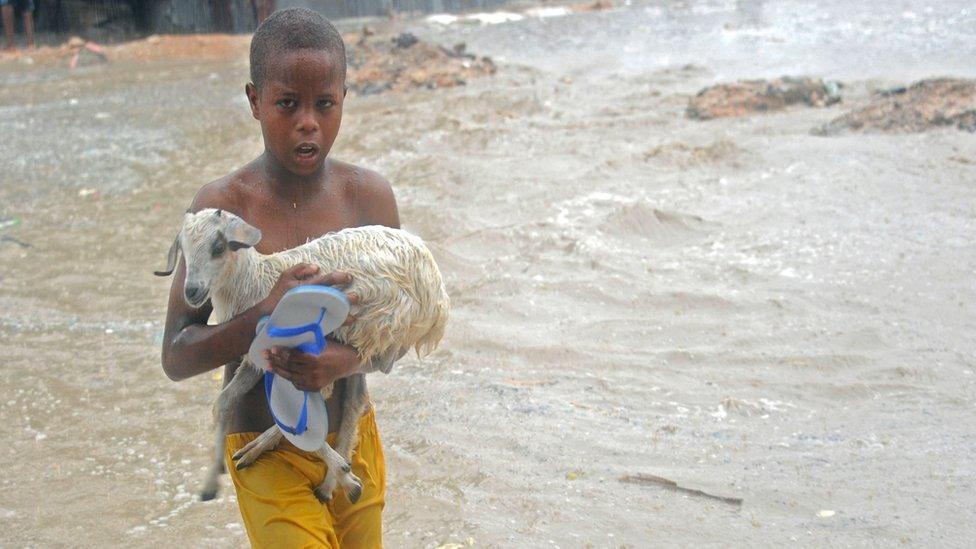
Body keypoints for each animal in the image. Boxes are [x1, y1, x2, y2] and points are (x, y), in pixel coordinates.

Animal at [157, 208, 450, 504]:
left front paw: (345, 475)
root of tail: (438, 297)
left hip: (375, 326)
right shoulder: (256, 358)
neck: (257, 284)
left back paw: (334, 478)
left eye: (218, 247)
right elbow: (224, 402)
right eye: (184, 251)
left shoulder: (294, 354)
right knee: (355, 396)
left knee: (351, 386)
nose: (191, 291)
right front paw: (210, 482)